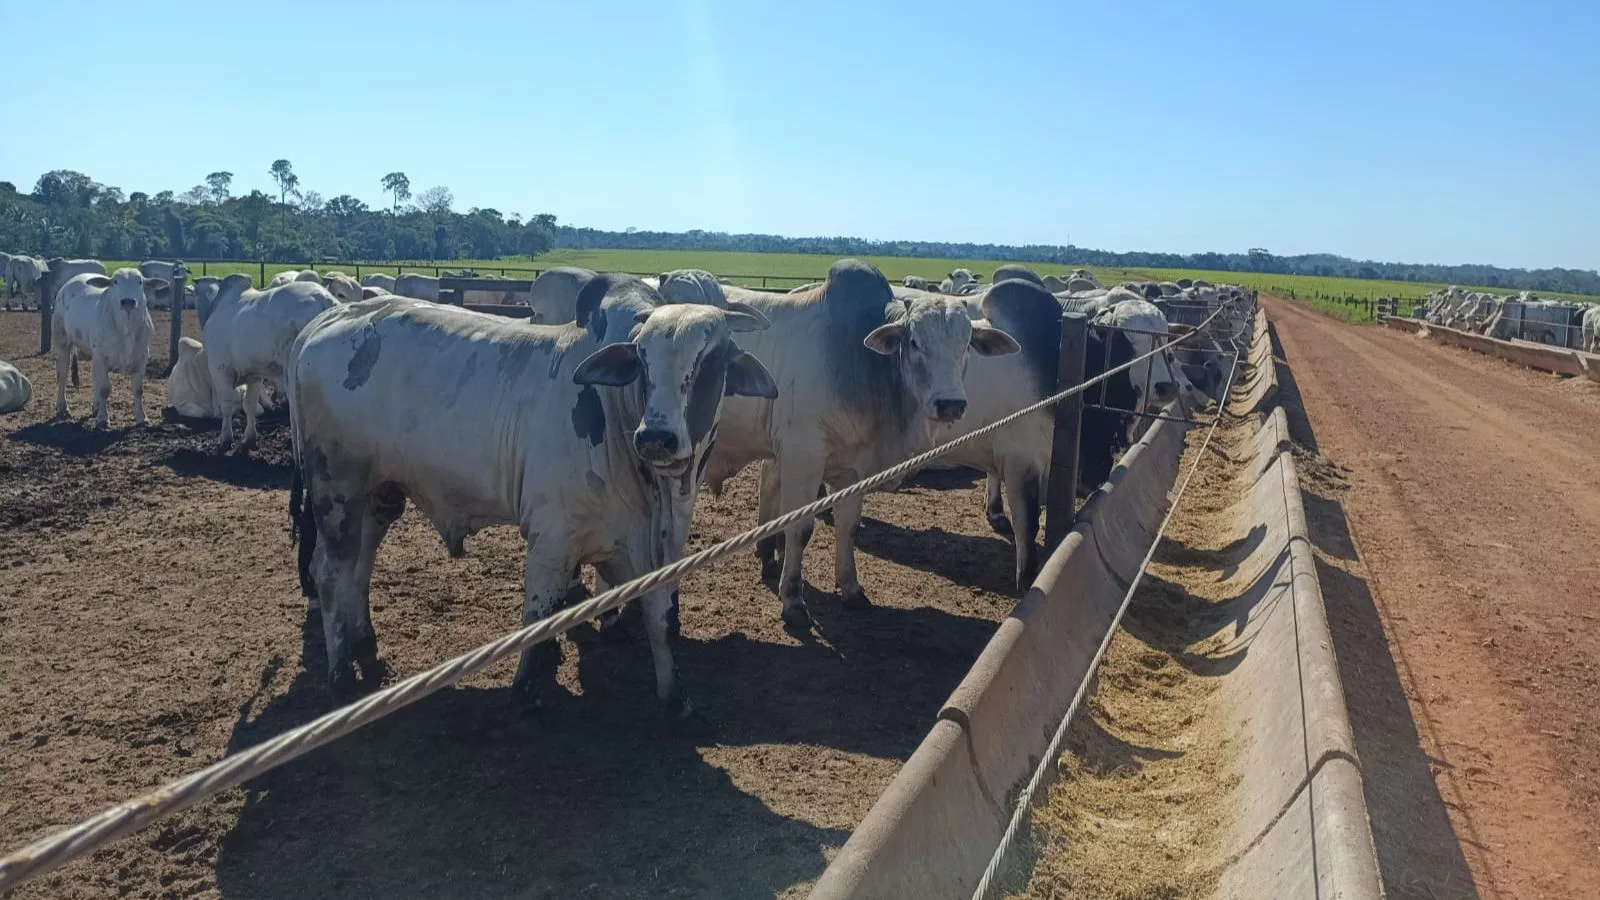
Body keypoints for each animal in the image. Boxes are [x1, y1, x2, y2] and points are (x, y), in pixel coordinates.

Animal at [50, 267, 165, 425]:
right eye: (115, 282)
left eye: (140, 281)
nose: (128, 302)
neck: (126, 329)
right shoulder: (101, 356)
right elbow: (105, 388)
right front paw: (103, 419)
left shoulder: (142, 356)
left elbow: (138, 389)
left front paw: (142, 417)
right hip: (62, 341)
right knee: (63, 375)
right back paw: (62, 407)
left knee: (93, 377)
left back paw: (96, 406)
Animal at [201, 269, 336, 445]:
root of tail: (324, 299)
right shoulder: (255, 373)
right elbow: (250, 404)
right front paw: (249, 437)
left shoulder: (220, 368)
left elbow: (227, 405)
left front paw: (225, 438)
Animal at [289, 273, 780, 707]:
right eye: (642, 359)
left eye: (710, 361)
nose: (657, 437)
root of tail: (330, 318)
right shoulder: (552, 537)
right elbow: (539, 614)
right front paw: (528, 687)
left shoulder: (658, 549)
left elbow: (659, 616)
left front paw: (674, 695)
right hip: (337, 489)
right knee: (330, 572)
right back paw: (340, 676)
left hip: (379, 493)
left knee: (361, 565)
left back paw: (366, 647)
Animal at [704, 257, 1017, 624]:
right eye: (913, 342)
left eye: (966, 343)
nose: (950, 404)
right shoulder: (803, 456)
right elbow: (801, 529)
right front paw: (793, 600)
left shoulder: (851, 470)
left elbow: (848, 526)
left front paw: (851, 588)